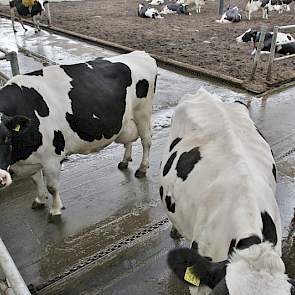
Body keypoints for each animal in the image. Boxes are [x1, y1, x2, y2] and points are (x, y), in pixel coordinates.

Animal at [0, 51, 158, 222]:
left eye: (6, 138)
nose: (1, 178)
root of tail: (141, 54)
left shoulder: (52, 157)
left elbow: (52, 187)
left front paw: (55, 210)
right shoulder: (33, 155)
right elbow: (36, 180)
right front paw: (39, 200)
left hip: (143, 113)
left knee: (146, 141)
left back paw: (142, 168)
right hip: (125, 119)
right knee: (128, 140)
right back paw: (124, 161)